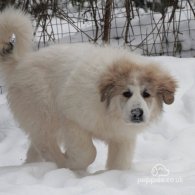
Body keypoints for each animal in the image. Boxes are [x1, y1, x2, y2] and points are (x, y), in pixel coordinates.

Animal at [0, 8, 177, 169]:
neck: (109, 110)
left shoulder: (122, 137)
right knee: (45, 143)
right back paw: (60, 162)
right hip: (44, 111)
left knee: (37, 145)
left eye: (146, 94)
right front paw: (73, 164)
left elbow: (120, 163)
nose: (137, 113)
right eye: (126, 93)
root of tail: (20, 63)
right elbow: (88, 153)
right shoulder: (72, 120)